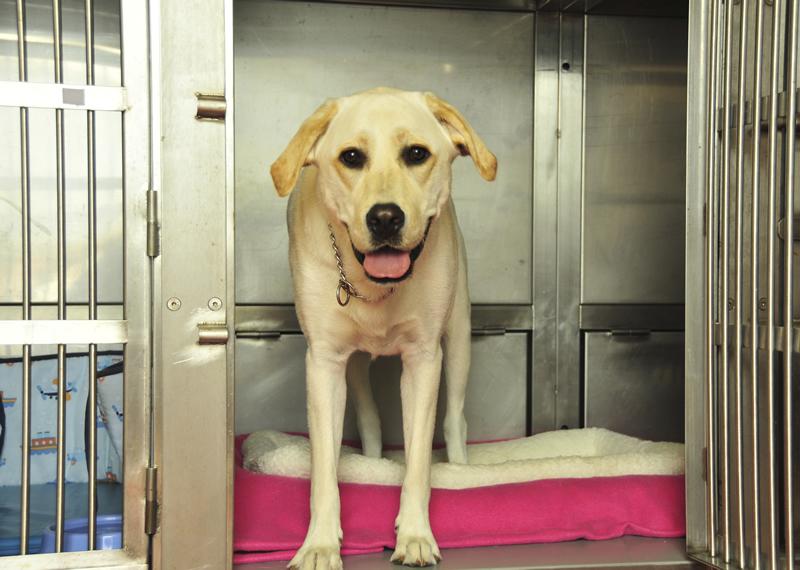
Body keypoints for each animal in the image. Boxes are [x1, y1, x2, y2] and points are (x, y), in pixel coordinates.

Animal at [270, 86, 494, 564]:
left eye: (417, 153)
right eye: (352, 157)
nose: (386, 218)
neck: (372, 286)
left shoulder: (424, 360)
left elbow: (418, 463)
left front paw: (415, 534)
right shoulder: (324, 364)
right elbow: (324, 471)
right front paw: (319, 544)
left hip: (459, 338)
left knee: (455, 420)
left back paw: (462, 472)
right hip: (354, 370)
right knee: (370, 421)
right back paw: (371, 464)